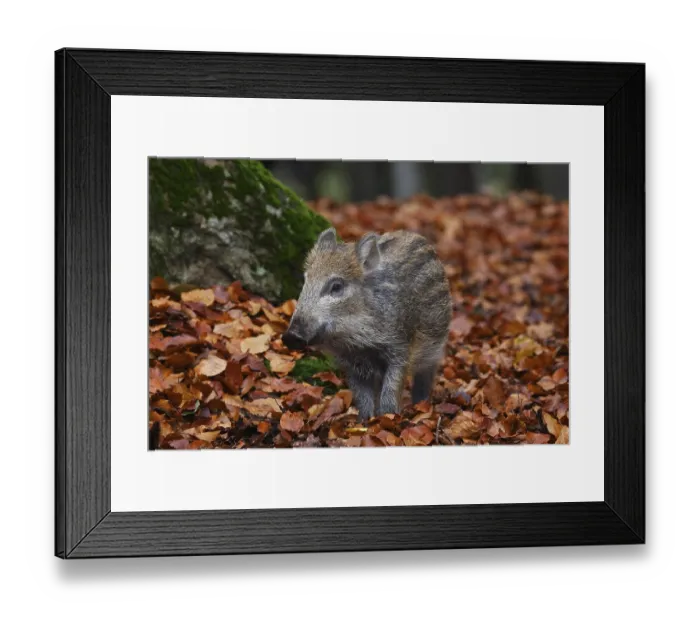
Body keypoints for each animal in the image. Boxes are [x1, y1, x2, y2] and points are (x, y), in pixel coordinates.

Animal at [282, 227, 452, 421]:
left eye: (336, 286)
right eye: (306, 280)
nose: (290, 336)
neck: (360, 342)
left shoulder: (401, 348)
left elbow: (391, 389)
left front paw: (388, 417)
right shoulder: (351, 362)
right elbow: (362, 397)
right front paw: (365, 421)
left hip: (435, 345)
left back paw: (420, 404)